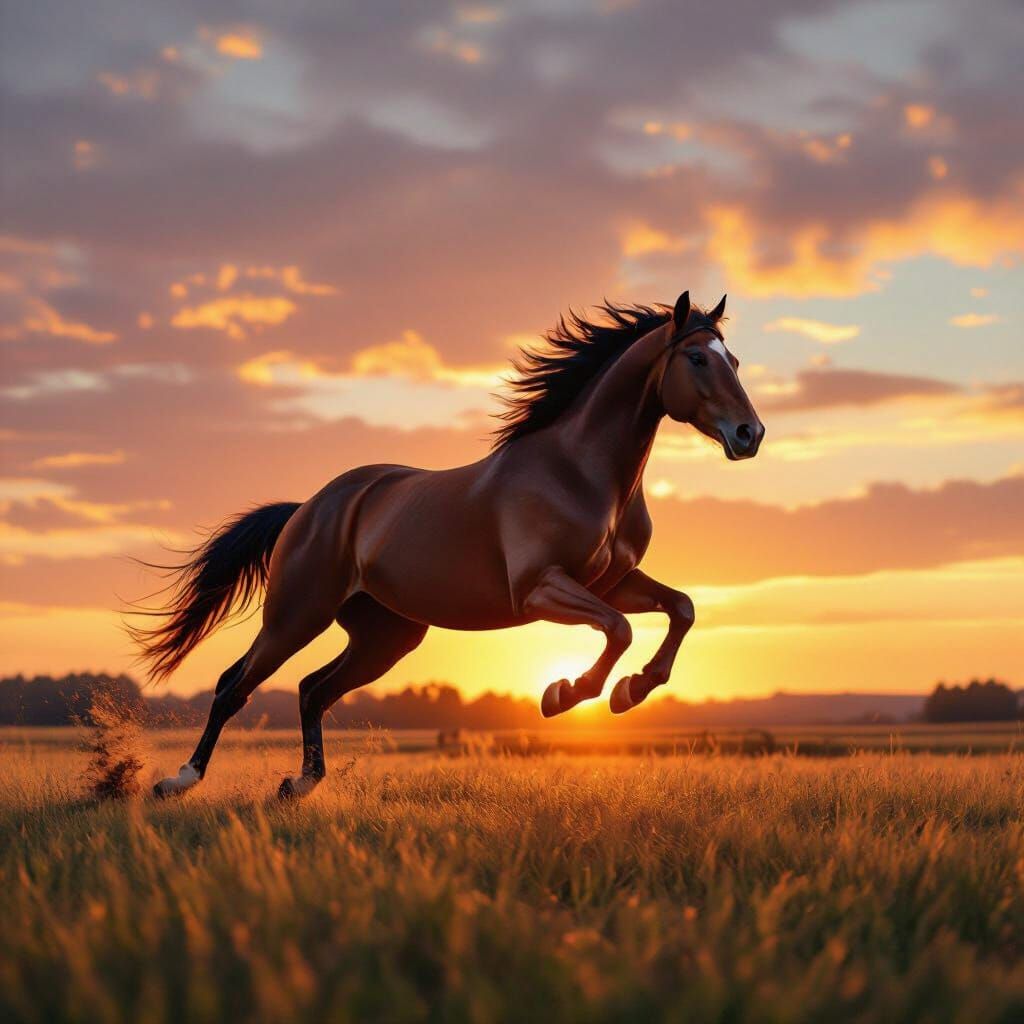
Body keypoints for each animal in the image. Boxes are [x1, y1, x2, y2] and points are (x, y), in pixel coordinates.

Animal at [134, 291, 764, 798]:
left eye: (733, 359)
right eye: (698, 357)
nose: (749, 435)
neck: (578, 473)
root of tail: (309, 508)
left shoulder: (613, 582)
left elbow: (680, 608)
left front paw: (632, 689)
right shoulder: (539, 590)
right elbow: (620, 628)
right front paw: (566, 693)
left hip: (385, 636)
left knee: (313, 689)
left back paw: (301, 784)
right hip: (297, 614)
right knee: (233, 685)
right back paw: (177, 782)